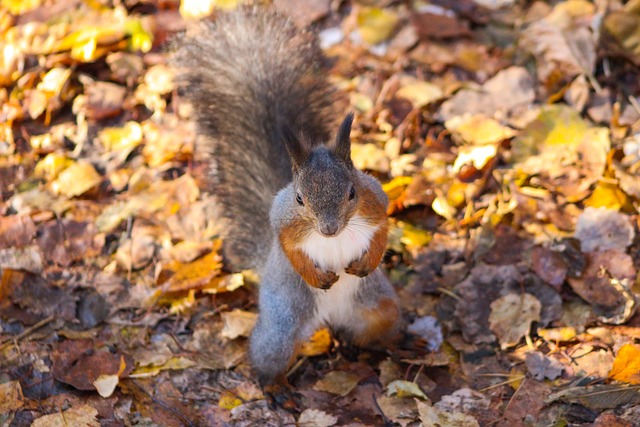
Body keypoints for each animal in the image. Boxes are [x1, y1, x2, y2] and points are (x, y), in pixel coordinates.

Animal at [172, 8, 398, 406]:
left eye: (352, 193)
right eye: (299, 198)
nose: (329, 230)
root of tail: (327, 321)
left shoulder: (376, 202)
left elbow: (382, 229)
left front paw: (367, 261)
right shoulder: (283, 221)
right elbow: (289, 246)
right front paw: (316, 275)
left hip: (379, 308)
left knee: (364, 334)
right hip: (282, 325)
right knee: (267, 355)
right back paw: (276, 387)